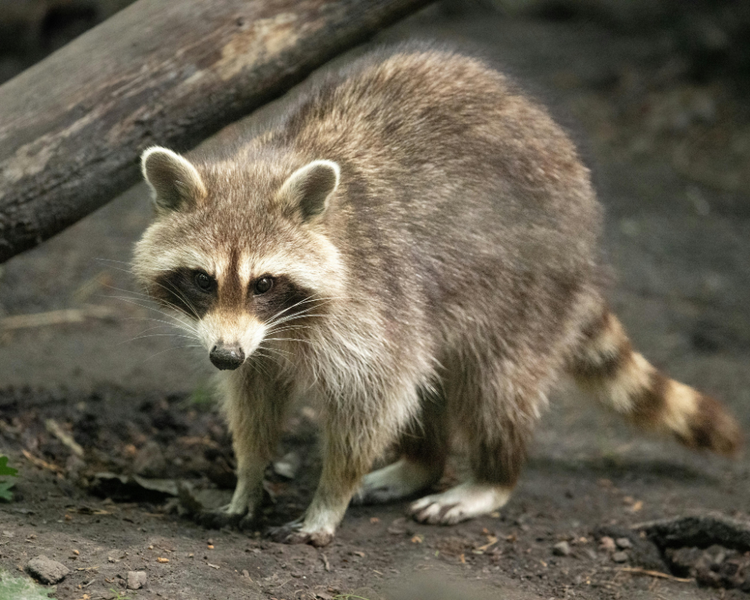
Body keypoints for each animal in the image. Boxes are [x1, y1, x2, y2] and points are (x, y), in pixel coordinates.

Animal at [133, 45, 741, 547]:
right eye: (203, 280)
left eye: (263, 283)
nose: (223, 356)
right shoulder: (255, 344)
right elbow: (254, 398)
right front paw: (249, 474)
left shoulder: (375, 301)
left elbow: (374, 398)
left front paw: (331, 495)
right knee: (431, 375)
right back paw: (421, 462)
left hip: (527, 287)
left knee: (495, 386)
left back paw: (491, 476)